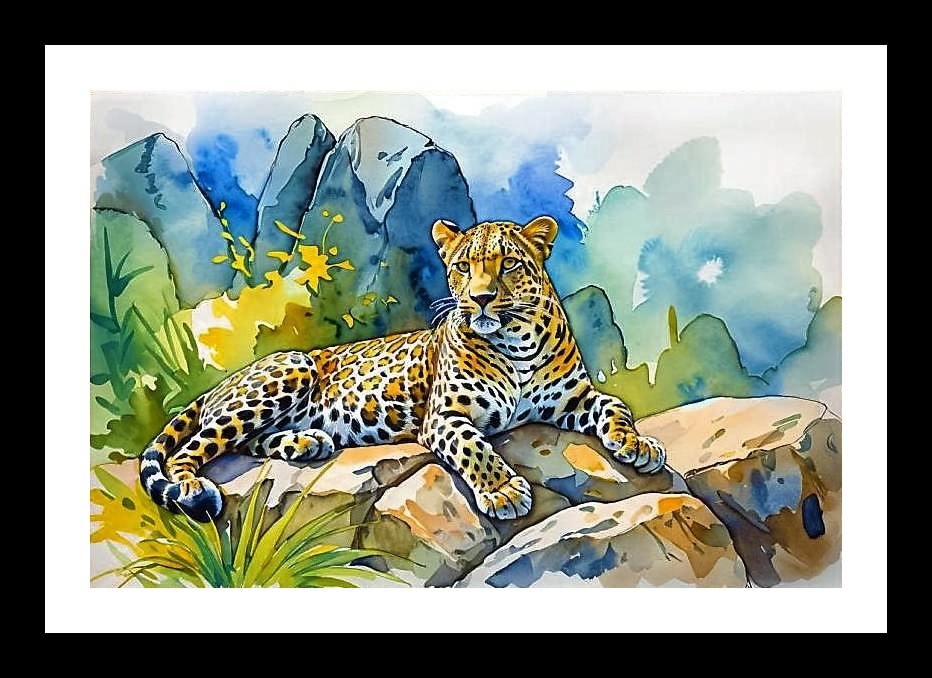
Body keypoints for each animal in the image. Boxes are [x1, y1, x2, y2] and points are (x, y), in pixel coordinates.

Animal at [140, 215, 666, 522]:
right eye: (462, 266)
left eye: (510, 264)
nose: (480, 298)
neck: (516, 341)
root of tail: (225, 381)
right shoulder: (446, 416)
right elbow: (476, 447)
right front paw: (502, 492)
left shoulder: (574, 397)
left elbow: (614, 406)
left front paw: (638, 444)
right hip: (289, 368)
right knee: (193, 449)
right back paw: (192, 485)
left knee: (246, 441)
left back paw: (308, 442)